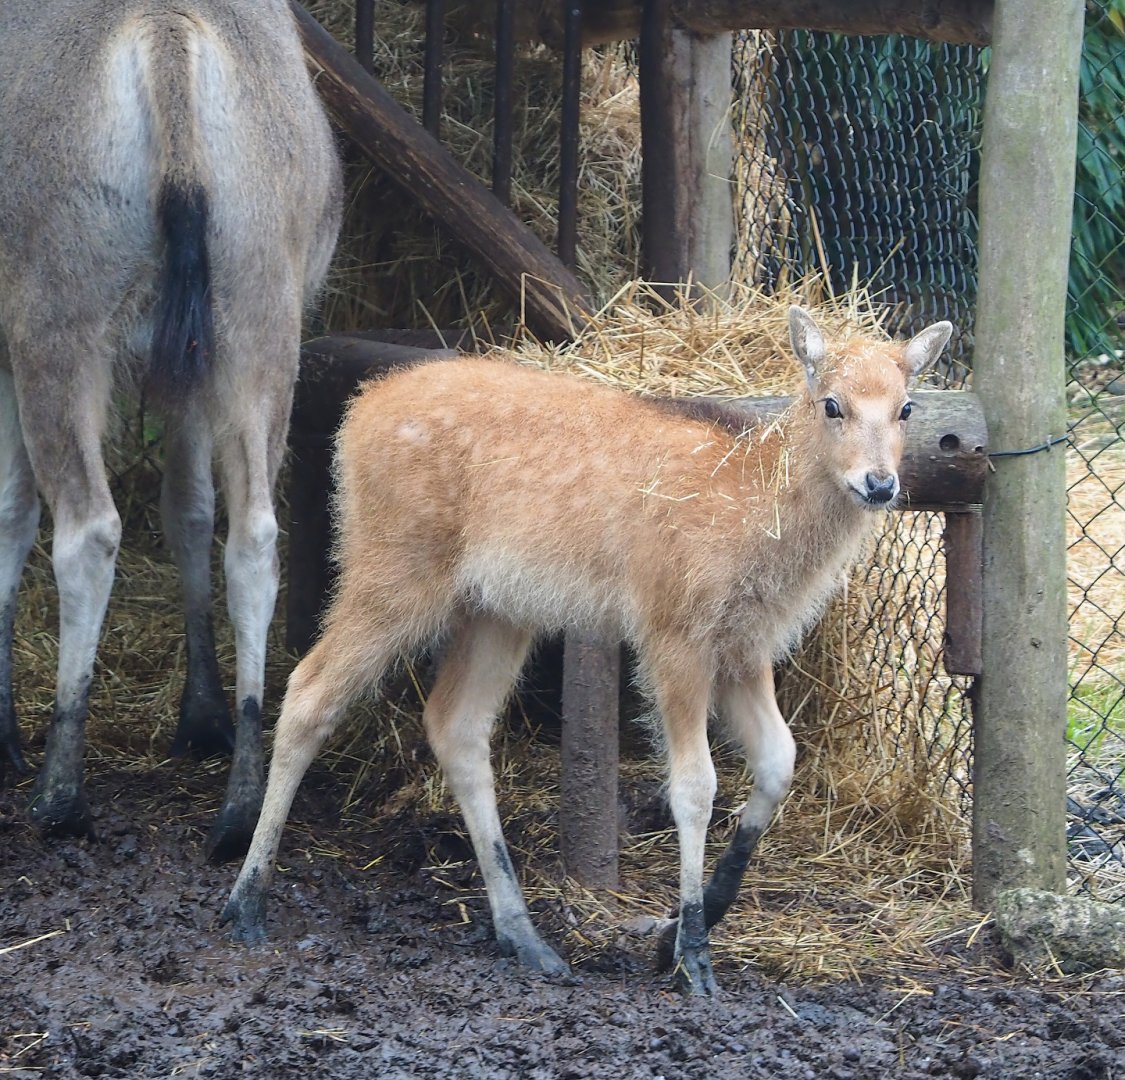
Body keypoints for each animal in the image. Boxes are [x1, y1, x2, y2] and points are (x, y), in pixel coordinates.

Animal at [0, 0, 342, 860]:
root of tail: (165, 32)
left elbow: (11, 513)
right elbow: (188, 510)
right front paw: (203, 714)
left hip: (57, 321)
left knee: (87, 528)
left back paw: (60, 794)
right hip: (255, 318)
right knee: (252, 536)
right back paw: (240, 800)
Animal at [221, 308, 952, 995]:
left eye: (906, 407)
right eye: (832, 403)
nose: (879, 484)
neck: (758, 515)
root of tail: (357, 415)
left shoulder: (745, 649)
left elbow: (779, 762)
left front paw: (676, 935)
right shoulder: (672, 632)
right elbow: (695, 785)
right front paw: (691, 955)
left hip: (495, 610)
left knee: (454, 724)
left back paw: (525, 937)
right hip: (392, 571)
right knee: (309, 690)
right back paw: (245, 900)